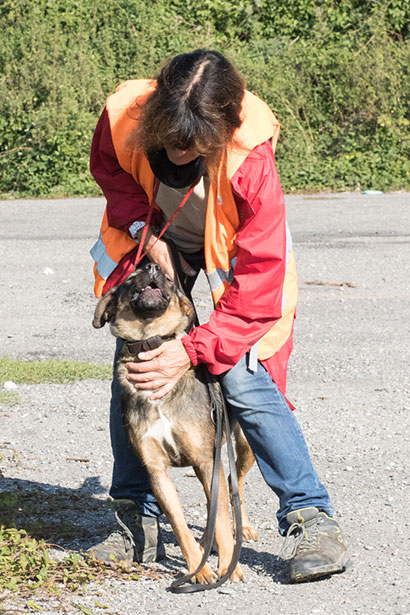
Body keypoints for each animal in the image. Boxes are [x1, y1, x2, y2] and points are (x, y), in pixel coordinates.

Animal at [93, 262, 258, 583]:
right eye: (131, 277)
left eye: (169, 279)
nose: (152, 265)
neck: (149, 342)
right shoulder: (157, 470)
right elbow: (180, 526)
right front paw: (199, 568)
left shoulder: (206, 460)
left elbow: (222, 519)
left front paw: (229, 566)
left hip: (244, 447)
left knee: (235, 487)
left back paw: (240, 529)